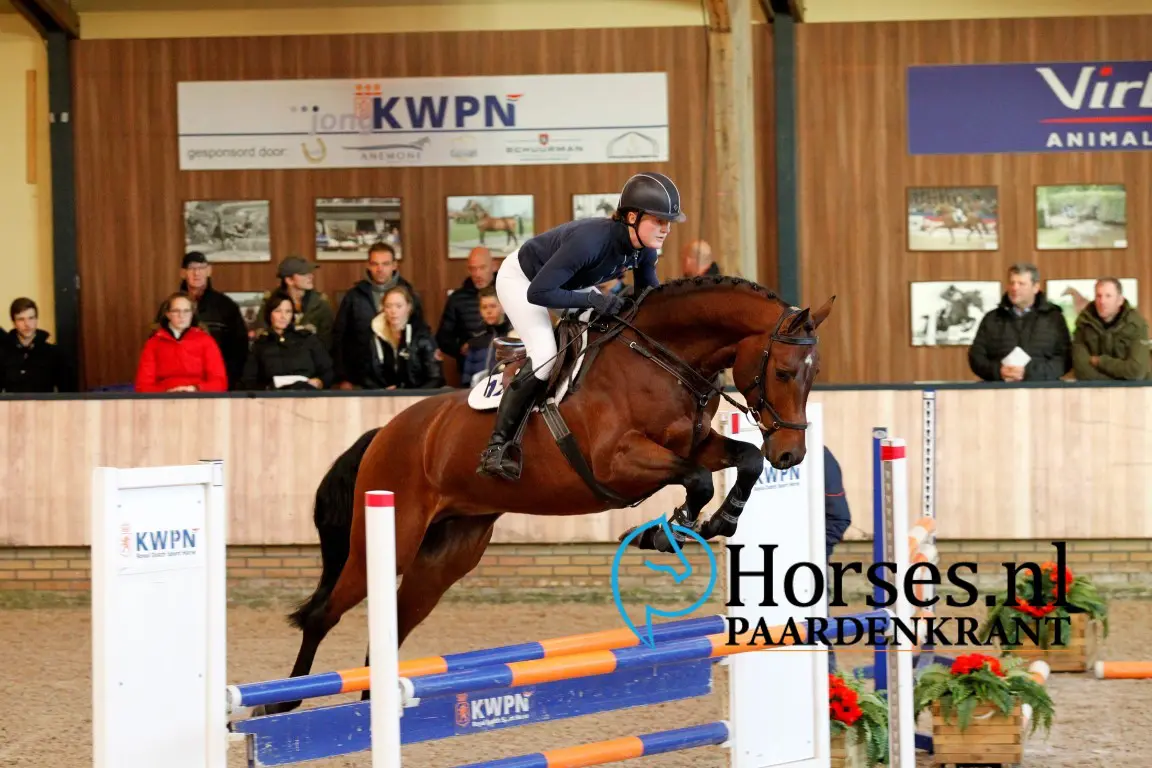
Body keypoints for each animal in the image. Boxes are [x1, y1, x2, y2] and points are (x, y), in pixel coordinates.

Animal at [257, 275, 835, 716]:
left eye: (813, 377)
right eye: (784, 371)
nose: (791, 454)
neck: (659, 359)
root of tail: (386, 432)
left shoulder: (698, 444)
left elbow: (743, 458)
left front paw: (717, 523)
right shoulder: (618, 463)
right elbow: (695, 480)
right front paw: (666, 532)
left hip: (449, 553)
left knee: (395, 621)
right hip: (388, 539)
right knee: (324, 614)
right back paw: (282, 702)